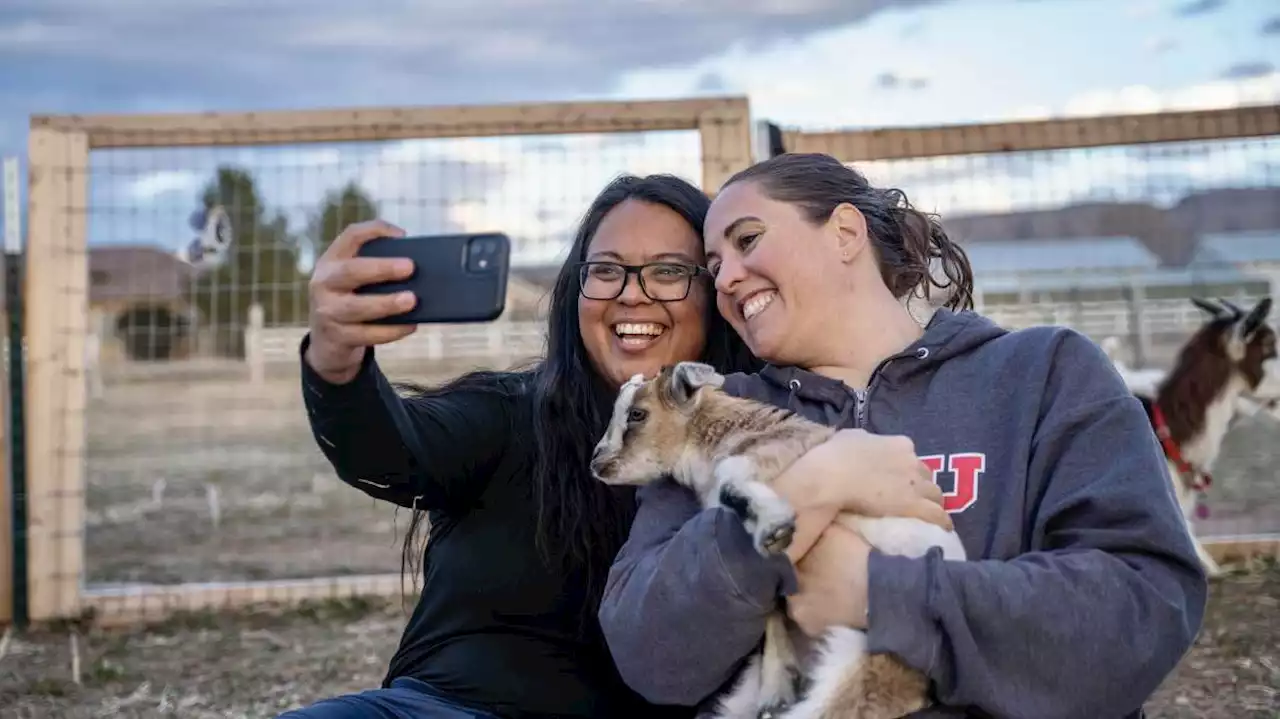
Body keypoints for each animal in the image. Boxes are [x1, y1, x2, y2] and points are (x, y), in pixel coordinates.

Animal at [586, 360, 962, 716]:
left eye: (637, 414)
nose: (596, 461)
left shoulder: (772, 453)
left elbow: (731, 481)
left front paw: (773, 526)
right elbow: (770, 621)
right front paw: (775, 691)